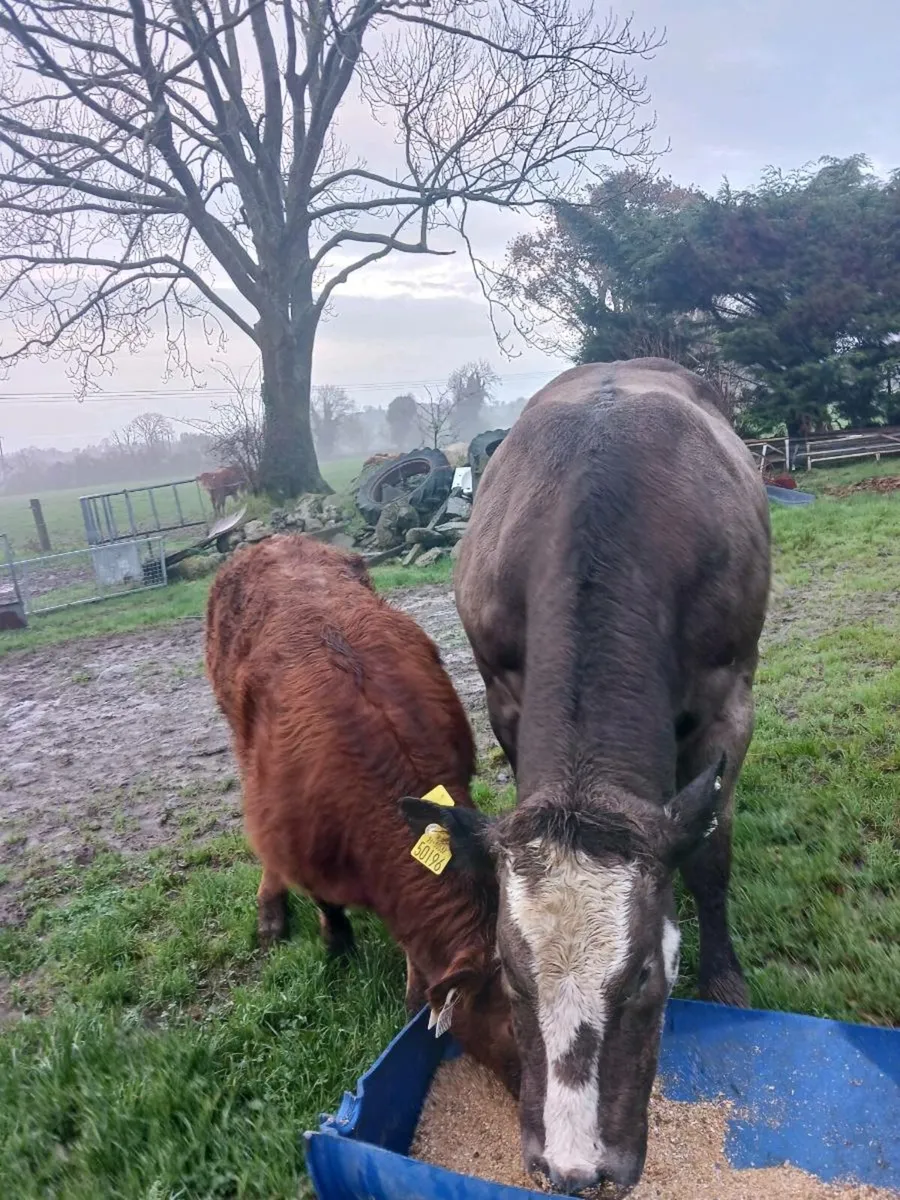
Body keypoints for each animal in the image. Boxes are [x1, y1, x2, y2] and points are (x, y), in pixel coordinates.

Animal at [205, 533, 519, 1095]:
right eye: (512, 1028)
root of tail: (273, 540)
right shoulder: (302, 845)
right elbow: (325, 901)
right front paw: (337, 944)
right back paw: (270, 912)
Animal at [404, 359, 771, 1194]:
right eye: (510, 973)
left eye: (641, 977)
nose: (575, 1170)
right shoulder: (504, 697)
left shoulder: (728, 700)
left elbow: (710, 852)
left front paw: (725, 979)